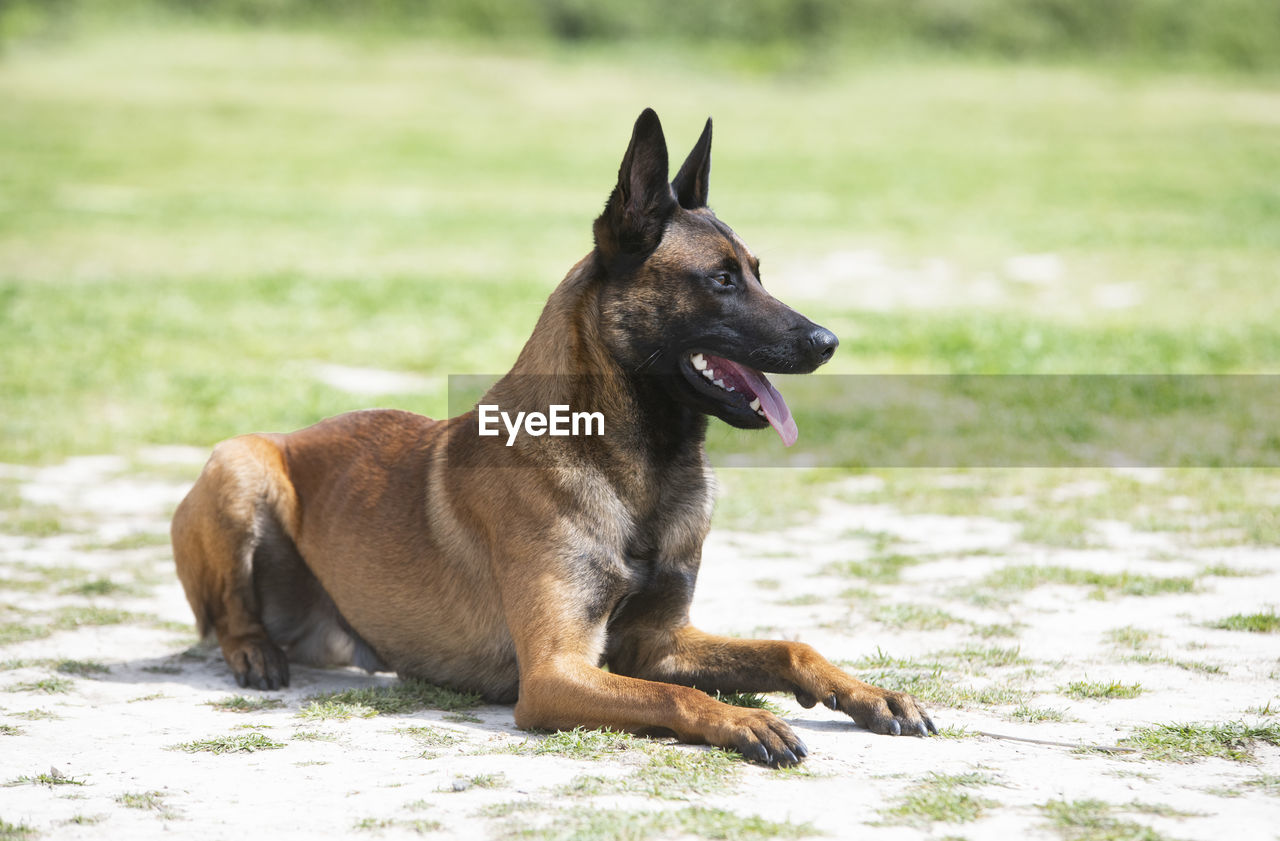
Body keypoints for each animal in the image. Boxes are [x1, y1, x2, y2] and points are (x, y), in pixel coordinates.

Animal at [172, 108, 931, 762]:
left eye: (757, 274)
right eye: (721, 280)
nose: (827, 342)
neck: (637, 467)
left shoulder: (660, 642)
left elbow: (785, 648)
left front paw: (872, 693)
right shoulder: (556, 672)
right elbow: (675, 696)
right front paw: (746, 719)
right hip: (239, 464)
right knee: (228, 615)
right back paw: (254, 652)